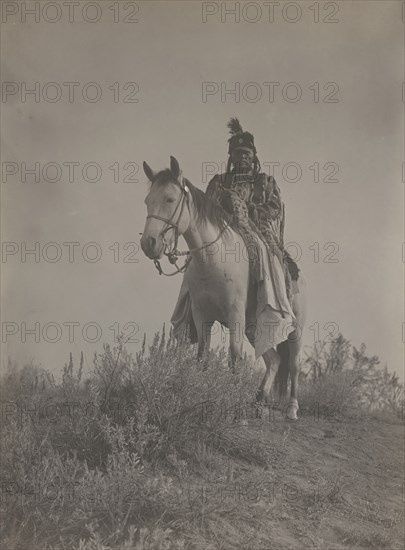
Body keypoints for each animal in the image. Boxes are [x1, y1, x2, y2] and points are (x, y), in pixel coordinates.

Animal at [140, 156, 306, 422]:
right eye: (148, 201)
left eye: (170, 199)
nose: (149, 243)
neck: (212, 260)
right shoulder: (201, 315)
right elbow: (202, 357)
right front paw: (198, 401)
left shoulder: (235, 313)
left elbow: (234, 357)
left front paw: (234, 410)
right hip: (254, 327)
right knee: (274, 360)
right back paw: (258, 403)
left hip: (295, 330)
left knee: (293, 363)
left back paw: (291, 409)